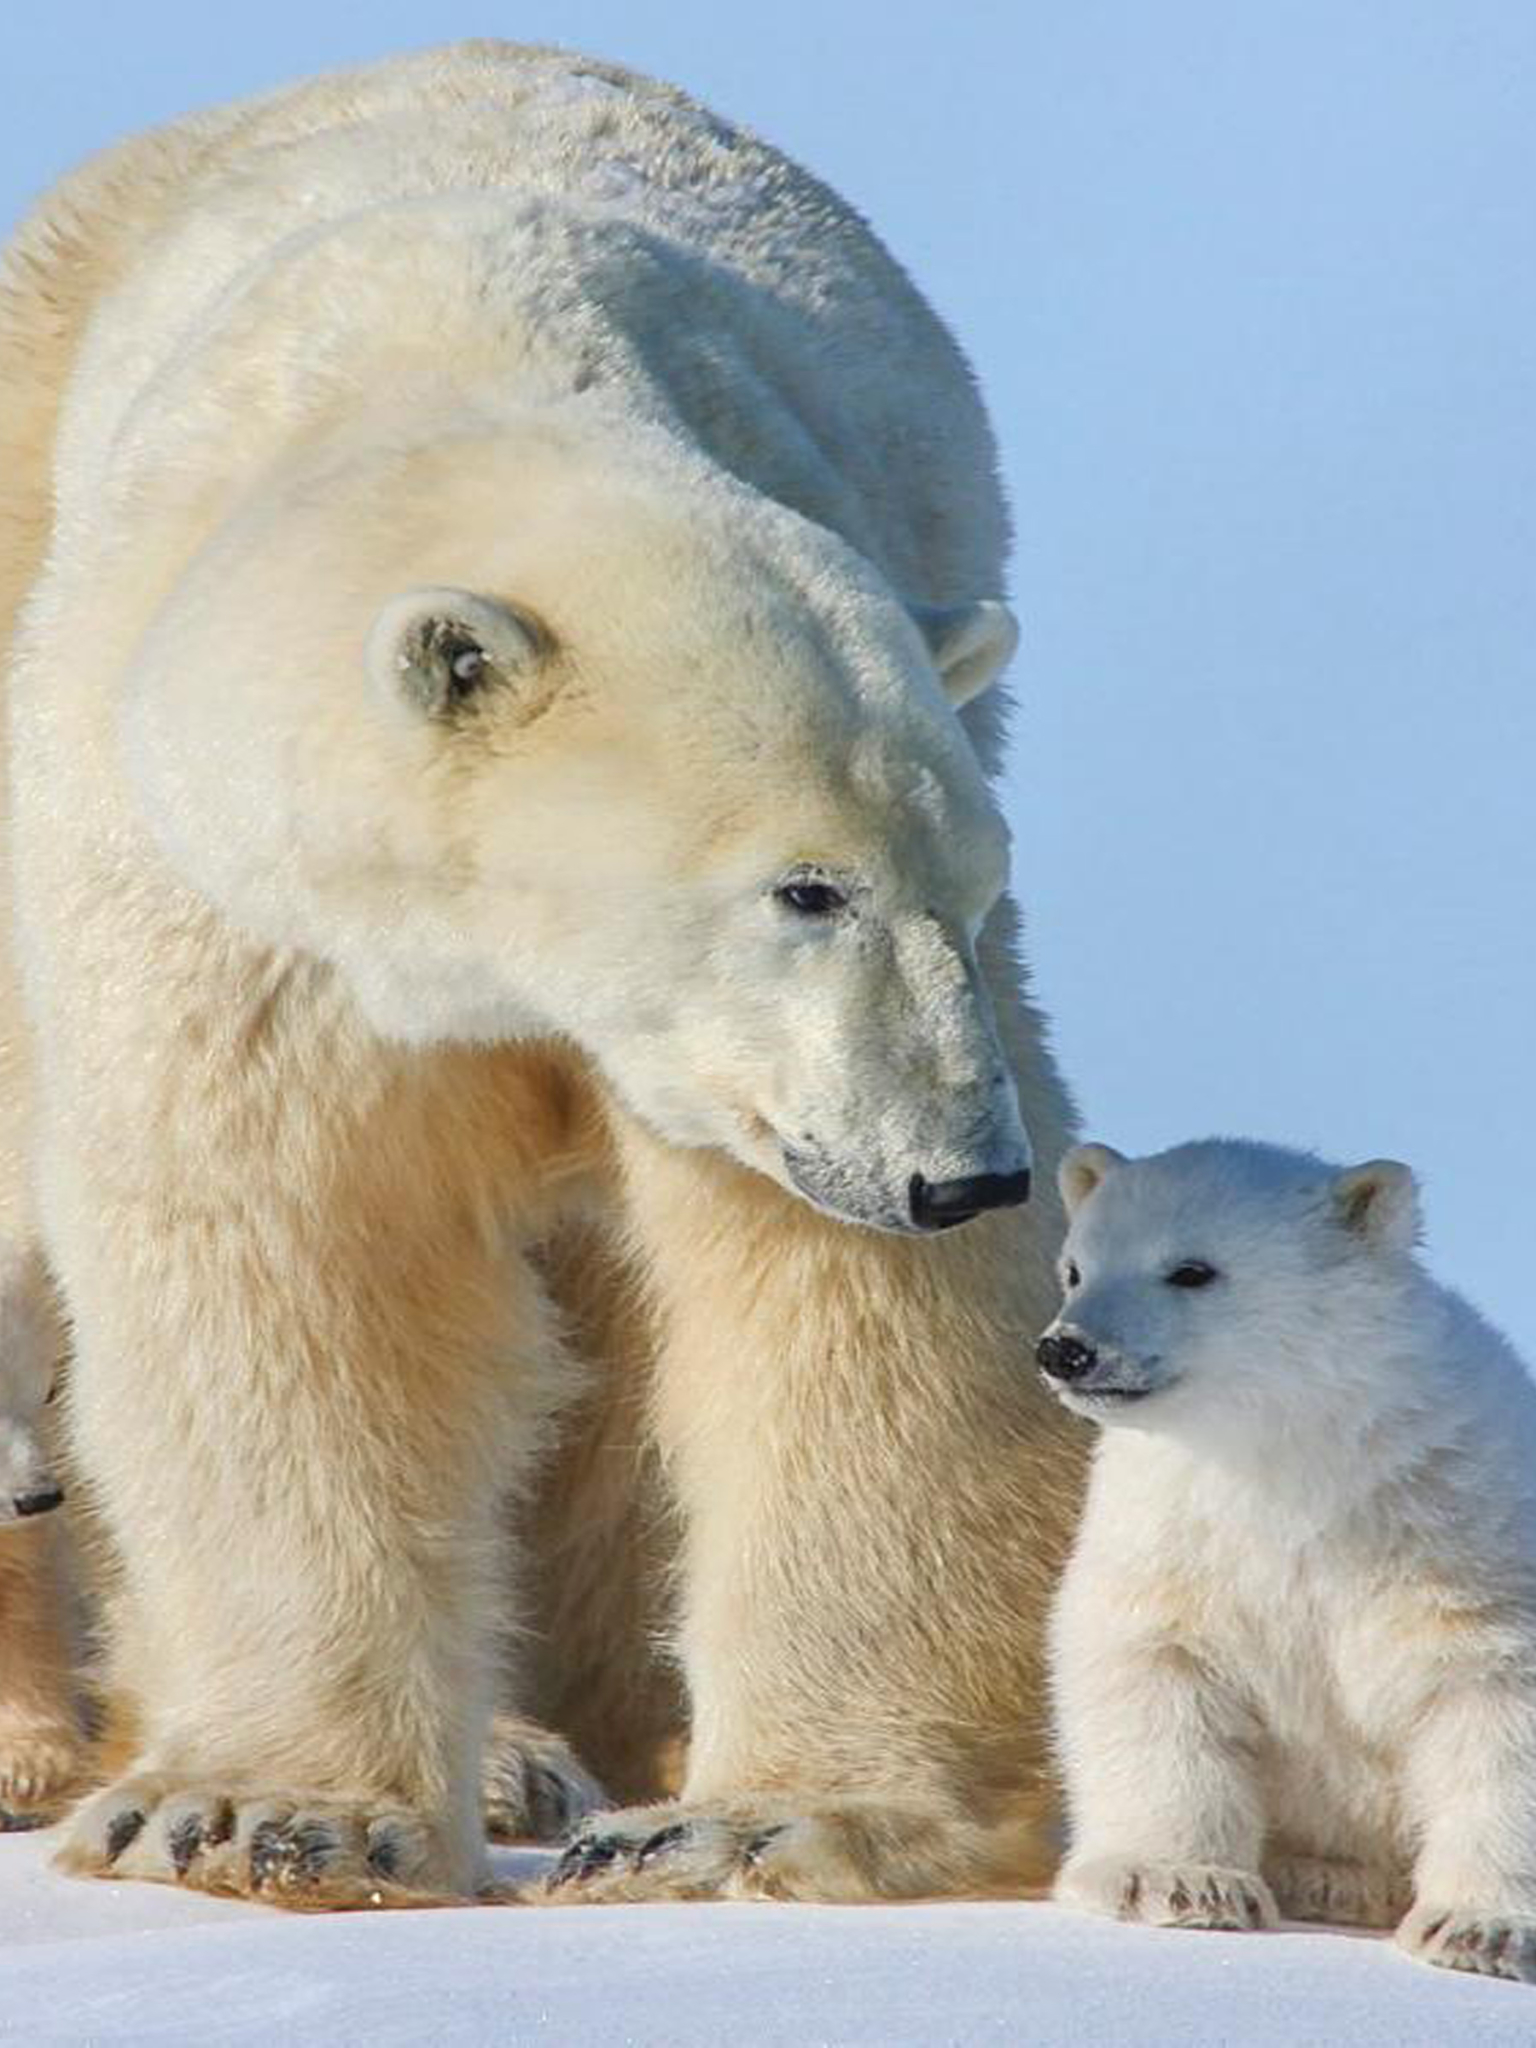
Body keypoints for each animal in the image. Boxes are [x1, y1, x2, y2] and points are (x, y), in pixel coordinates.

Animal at [0, 41, 1082, 1906]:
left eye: (975, 883)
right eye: (805, 885)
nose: (965, 1173)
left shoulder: (759, 1075)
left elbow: (844, 1317)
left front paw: (759, 1816)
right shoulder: (233, 914)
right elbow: (289, 1259)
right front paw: (253, 1812)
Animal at [1037, 1137, 1536, 1982]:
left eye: (1193, 1269)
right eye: (1076, 1267)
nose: (1067, 1350)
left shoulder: (1461, 1532)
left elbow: (1496, 1703)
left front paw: (1481, 1930)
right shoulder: (1177, 1533)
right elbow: (1153, 1667)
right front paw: (1177, 1881)